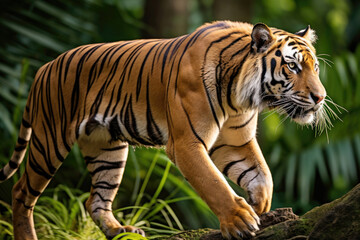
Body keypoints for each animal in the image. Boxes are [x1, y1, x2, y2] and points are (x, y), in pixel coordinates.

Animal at [0, 21, 328, 239]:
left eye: (315, 68)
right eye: (293, 67)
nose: (321, 97)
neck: (241, 96)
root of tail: (44, 67)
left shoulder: (233, 142)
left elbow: (262, 176)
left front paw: (260, 207)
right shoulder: (186, 143)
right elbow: (213, 183)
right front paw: (239, 220)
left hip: (107, 150)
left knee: (96, 201)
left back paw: (121, 232)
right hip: (49, 141)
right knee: (20, 192)